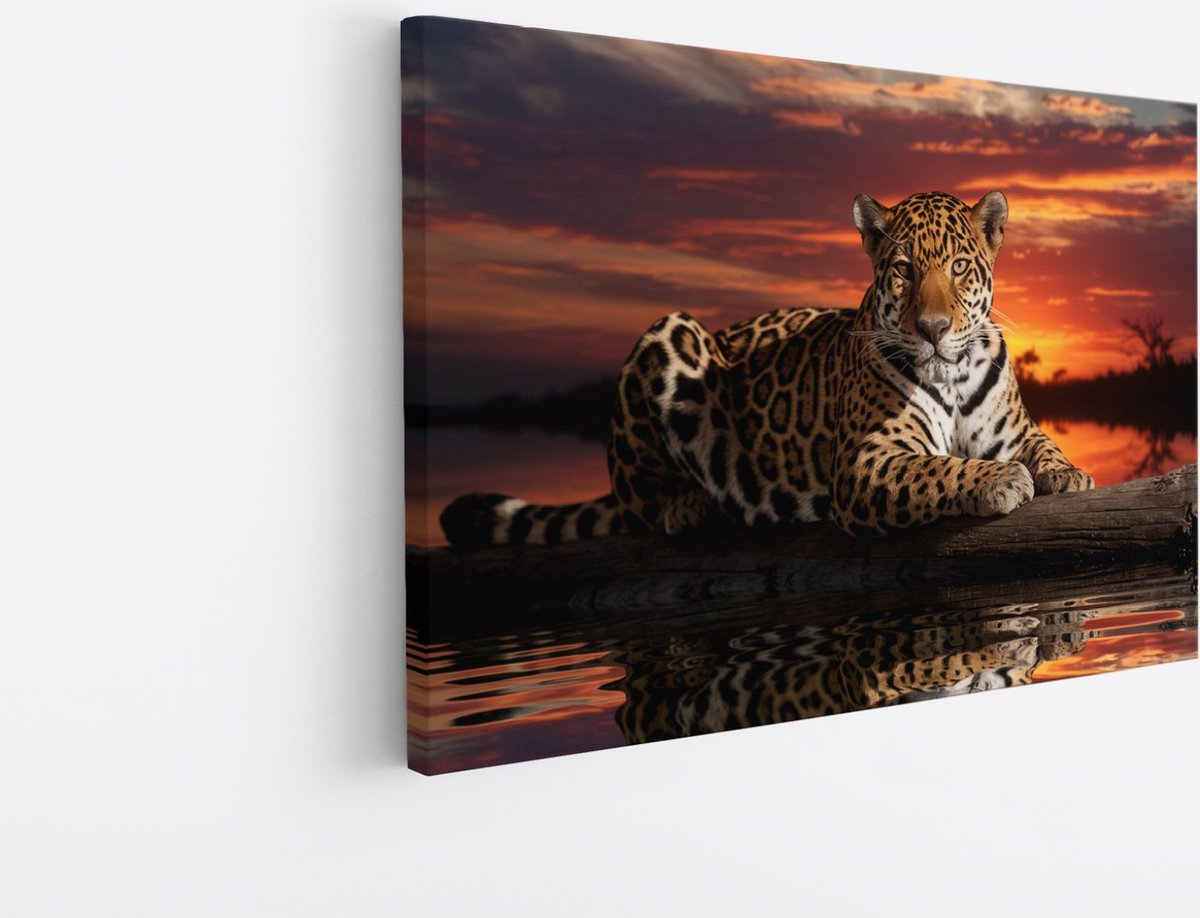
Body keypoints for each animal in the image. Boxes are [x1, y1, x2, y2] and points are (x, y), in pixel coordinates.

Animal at [439, 190, 1094, 548]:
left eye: (959, 266)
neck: (952, 378)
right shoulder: (865, 461)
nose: (932, 328)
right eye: (903, 270)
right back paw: (688, 505)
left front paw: (1069, 474)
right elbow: (938, 469)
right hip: (667, 333)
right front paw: (998, 480)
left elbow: (1044, 445)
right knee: (635, 501)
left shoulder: (1014, 430)